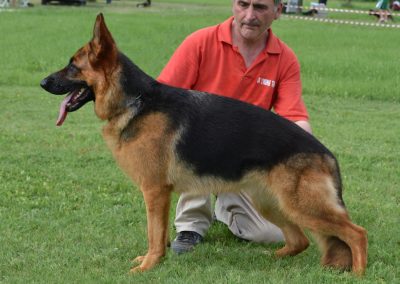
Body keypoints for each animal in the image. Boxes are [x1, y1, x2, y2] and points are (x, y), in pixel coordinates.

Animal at [39, 13, 368, 276]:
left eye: (72, 66)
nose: (42, 83)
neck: (136, 101)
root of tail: (327, 154)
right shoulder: (158, 194)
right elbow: (156, 234)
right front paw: (152, 260)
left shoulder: (154, 191)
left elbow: (153, 234)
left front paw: (148, 266)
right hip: (272, 203)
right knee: (301, 240)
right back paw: (272, 258)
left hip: (302, 206)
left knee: (356, 233)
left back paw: (358, 274)